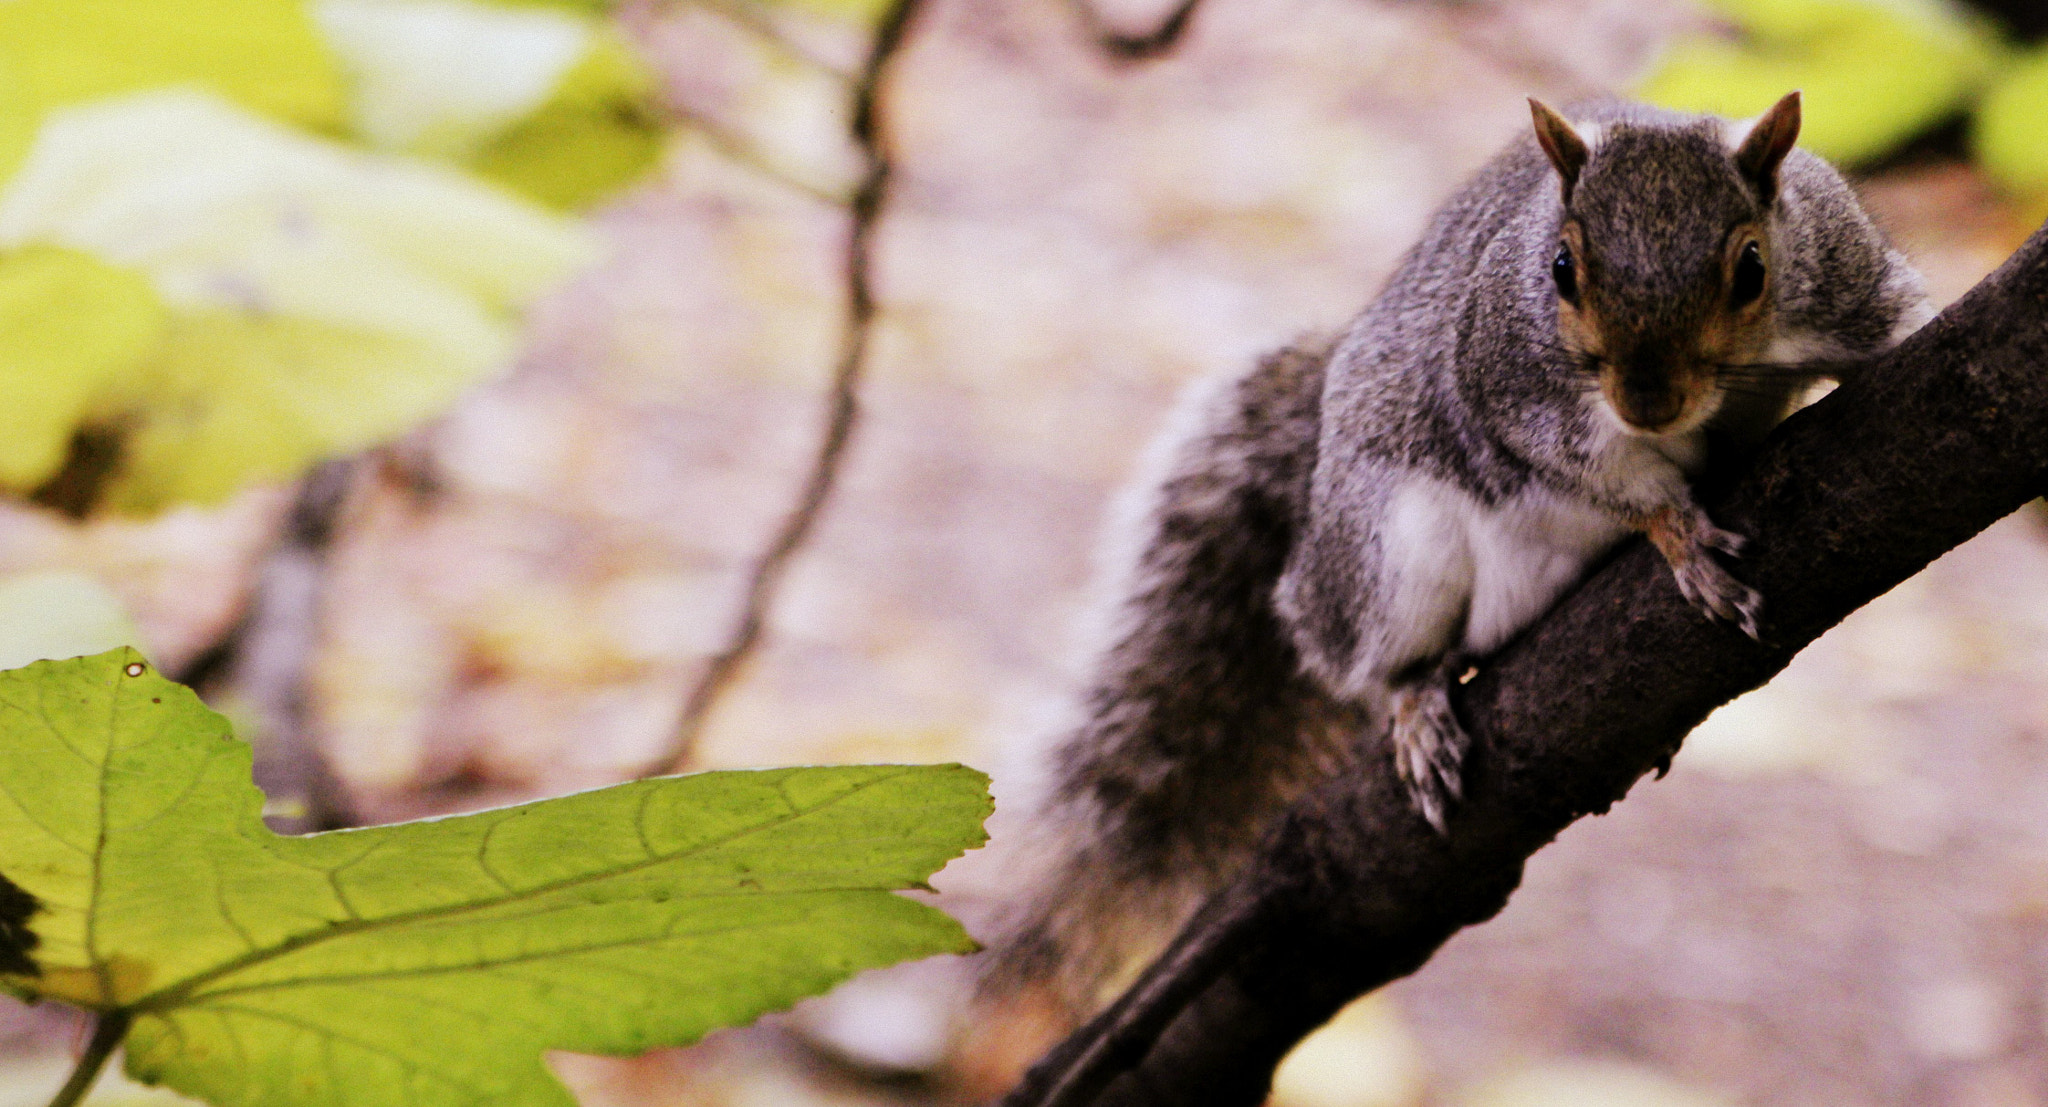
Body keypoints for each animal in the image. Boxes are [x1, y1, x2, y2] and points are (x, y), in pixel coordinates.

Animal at [982, 92, 1933, 1014]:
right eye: (1561, 268)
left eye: (1751, 269)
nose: (1648, 403)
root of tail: (1311, 526)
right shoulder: (1517, 384)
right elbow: (1599, 470)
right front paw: (1679, 533)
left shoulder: (1847, 271)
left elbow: (1899, 322)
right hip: (1386, 556)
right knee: (1363, 658)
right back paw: (1414, 703)